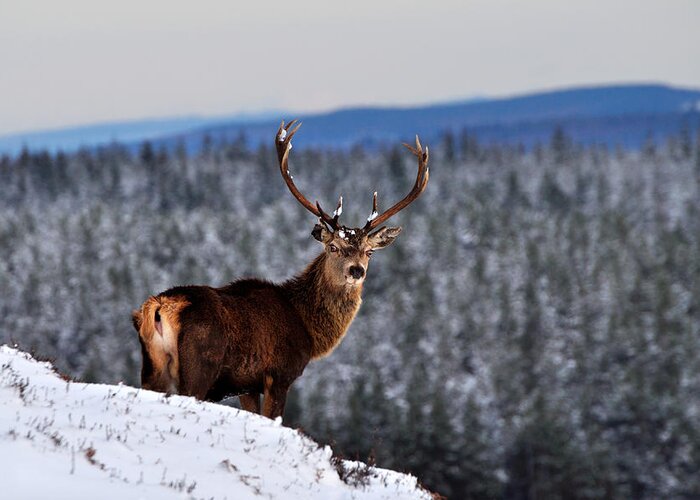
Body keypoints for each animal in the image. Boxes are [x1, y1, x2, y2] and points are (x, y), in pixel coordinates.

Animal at [129, 120, 430, 418]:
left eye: (369, 252)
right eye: (333, 247)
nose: (356, 271)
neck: (306, 325)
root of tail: (159, 306)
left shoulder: (247, 386)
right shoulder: (279, 374)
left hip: (152, 368)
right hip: (199, 364)